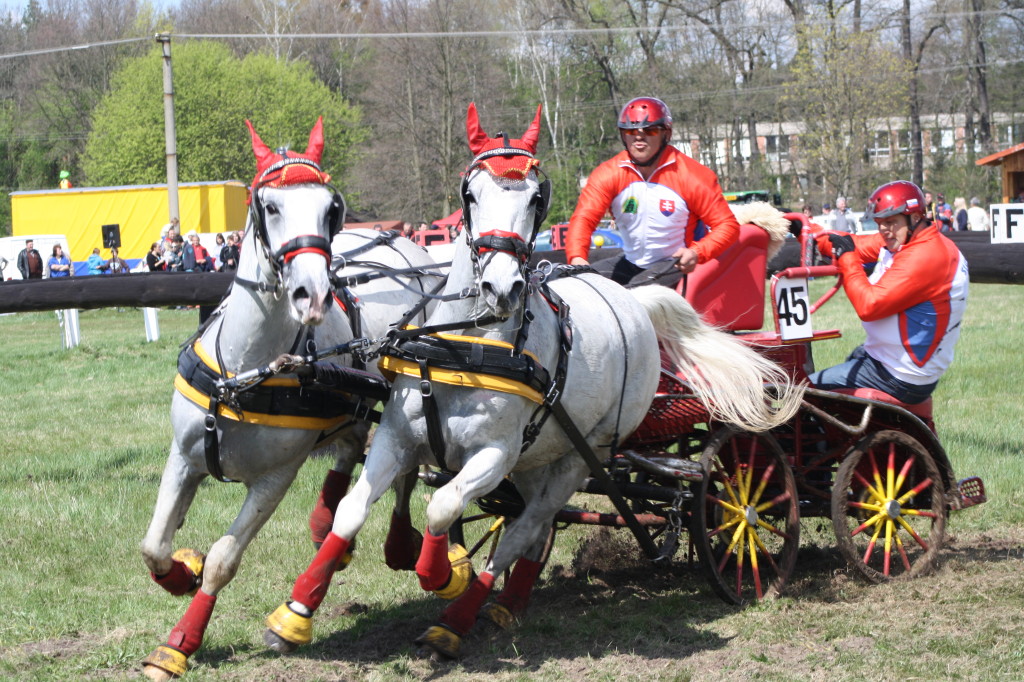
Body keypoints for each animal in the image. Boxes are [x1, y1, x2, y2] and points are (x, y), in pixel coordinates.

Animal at [138, 118, 438, 679]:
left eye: (330, 208)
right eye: (270, 206)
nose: (313, 294)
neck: (244, 371)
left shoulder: (275, 479)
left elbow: (224, 560)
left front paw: (180, 641)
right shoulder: (183, 455)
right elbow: (155, 546)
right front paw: (181, 574)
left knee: (404, 469)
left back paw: (398, 541)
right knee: (351, 443)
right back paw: (327, 526)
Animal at [260, 103, 802, 655]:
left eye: (536, 198)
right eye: (471, 193)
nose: (502, 287)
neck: (464, 344)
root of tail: (634, 300)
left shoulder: (495, 454)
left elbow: (443, 506)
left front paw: (443, 575)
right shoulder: (397, 437)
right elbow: (352, 511)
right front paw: (295, 613)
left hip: (580, 456)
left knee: (529, 526)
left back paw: (457, 618)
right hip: (539, 456)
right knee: (533, 527)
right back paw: (506, 604)